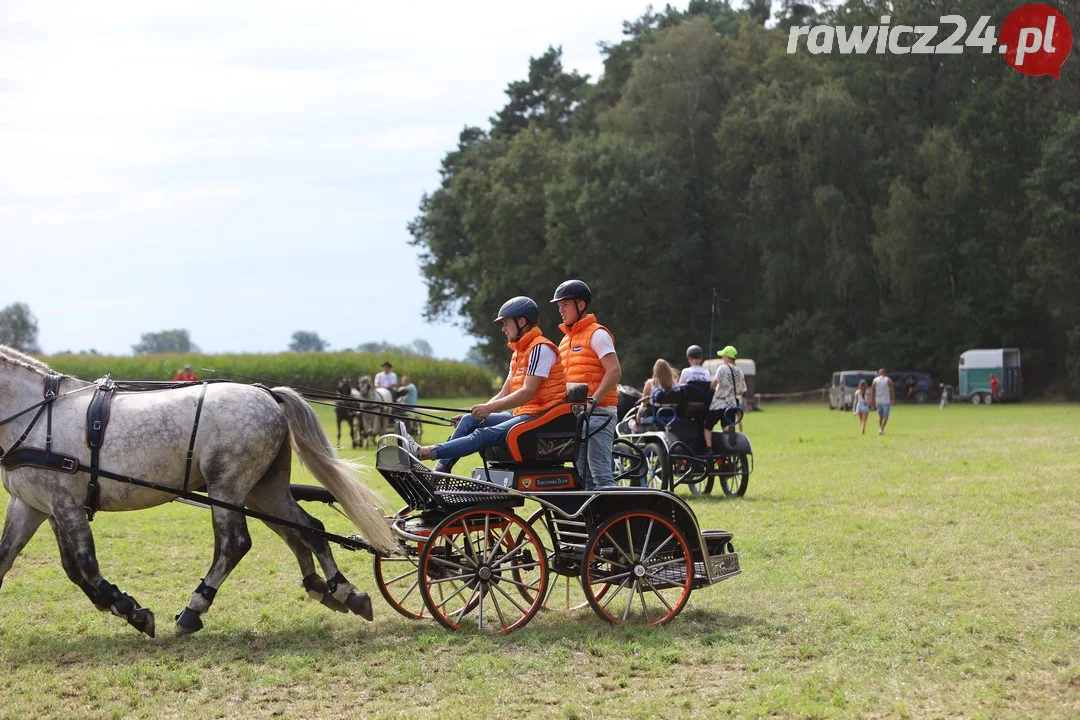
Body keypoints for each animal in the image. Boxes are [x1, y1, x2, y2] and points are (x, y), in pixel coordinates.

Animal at [0, 345, 397, 639]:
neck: (35, 415)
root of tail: (266, 393)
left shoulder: (65, 503)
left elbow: (85, 564)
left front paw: (132, 611)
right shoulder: (35, 505)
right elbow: (21, 559)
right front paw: (119, 606)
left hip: (227, 485)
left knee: (235, 544)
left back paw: (194, 609)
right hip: (264, 488)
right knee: (309, 527)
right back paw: (344, 591)